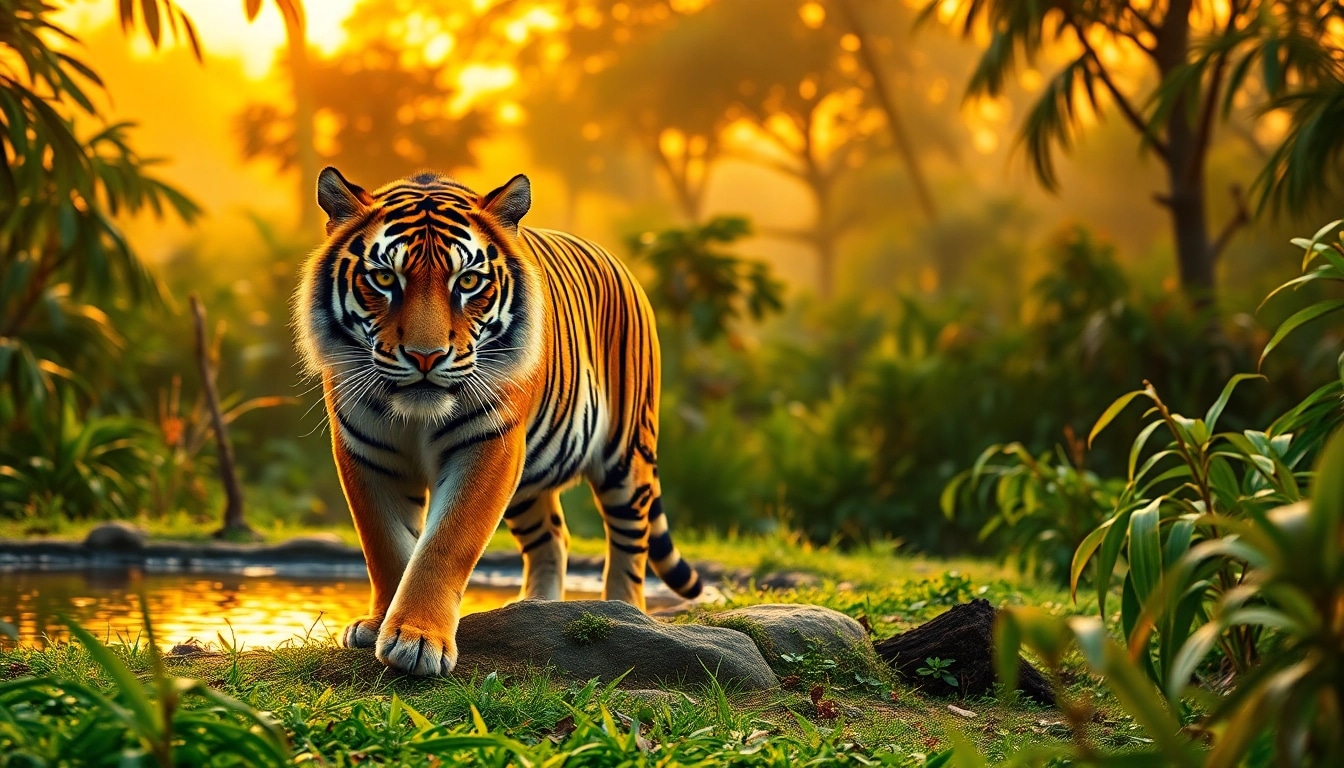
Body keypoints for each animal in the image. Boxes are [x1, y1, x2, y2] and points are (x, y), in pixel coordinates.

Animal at [295, 167, 703, 676]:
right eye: (385, 277)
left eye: (468, 281)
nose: (426, 357)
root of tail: (618, 263)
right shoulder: (366, 451)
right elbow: (385, 546)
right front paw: (378, 623)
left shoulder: (489, 445)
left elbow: (446, 542)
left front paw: (416, 639)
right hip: (529, 483)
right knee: (553, 537)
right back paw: (535, 608)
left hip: (626, 456)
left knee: (631, 540)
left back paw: (625, 611)